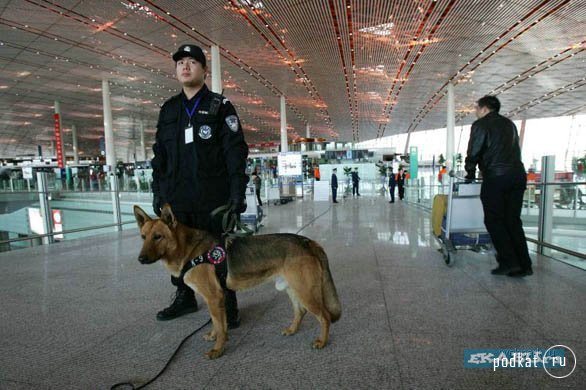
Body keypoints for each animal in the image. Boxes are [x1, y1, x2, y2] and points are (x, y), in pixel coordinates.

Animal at [134, 204, 340, 360]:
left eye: (158, 237)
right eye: (143, 237)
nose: (140, 259)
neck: (190, 250)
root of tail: (308, 241)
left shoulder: (214, 297)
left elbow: (219, 326)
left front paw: (218, 350)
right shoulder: (216, 299)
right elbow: (218, 324)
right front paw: (214, 337)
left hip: (305, 292)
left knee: (324, 316)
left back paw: (322, 341)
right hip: (293, 289)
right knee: (300, 311)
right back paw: (292, 330)